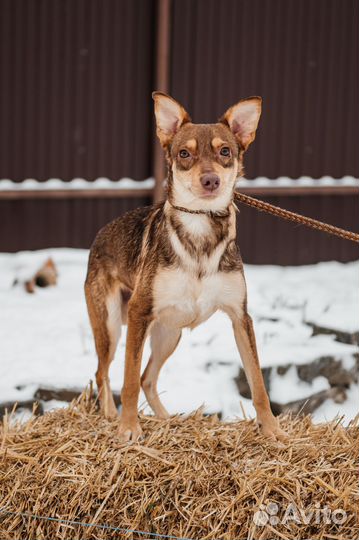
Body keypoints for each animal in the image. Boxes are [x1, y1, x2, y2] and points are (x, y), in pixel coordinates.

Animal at [84, 93, 286, 442]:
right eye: (184, 153)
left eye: (225, 151)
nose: (211, 180)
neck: (200, 228)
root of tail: (100, 235)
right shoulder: (139, 311)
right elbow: (128, 381)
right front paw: (128, 429)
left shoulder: (240, 317)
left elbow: (258, 381)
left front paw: (271, 428)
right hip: (110, 326)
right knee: (104, 373)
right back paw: (111, 416)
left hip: (169, 333)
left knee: (148, 378)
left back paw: (167, 420)